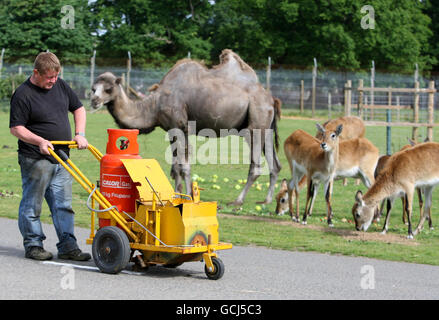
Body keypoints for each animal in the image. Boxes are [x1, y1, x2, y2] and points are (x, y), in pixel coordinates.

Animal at [90, 49, 282, 205]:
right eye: (93, 88)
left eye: (108, 89)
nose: (94, 101)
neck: (154, 105)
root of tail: (271, 99)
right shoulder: (171, 130)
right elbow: (175, 167)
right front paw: (176, 195)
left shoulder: (179, 127)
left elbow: (183, 166)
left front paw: (189, 197)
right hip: (266, 128)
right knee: (275, 164)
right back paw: (267, 200)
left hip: (255, 126)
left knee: (255, 166)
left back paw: (238, 200)